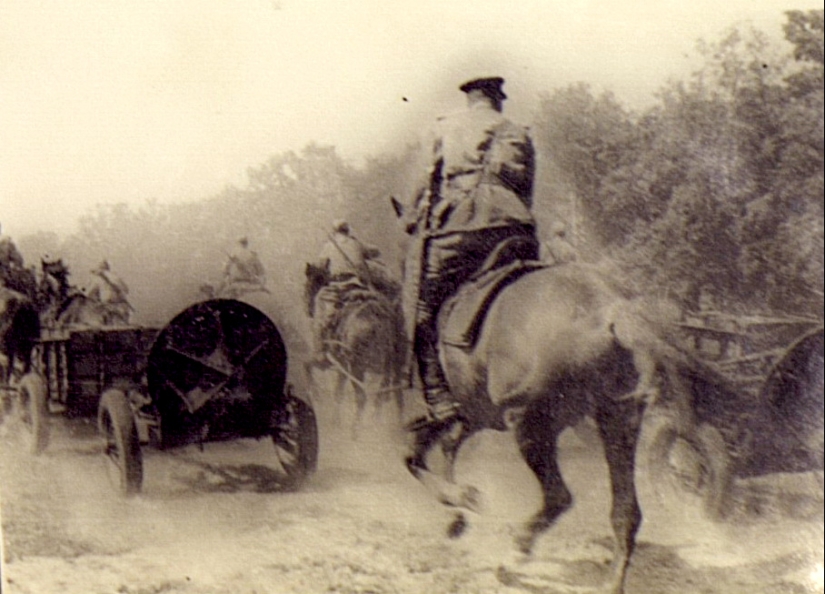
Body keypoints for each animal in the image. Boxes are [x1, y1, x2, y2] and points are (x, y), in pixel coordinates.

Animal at [402, 262, 724, 592]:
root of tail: (612, 312)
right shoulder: (473, 415)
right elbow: (435, 449)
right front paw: (457, 515)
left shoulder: (462, 413)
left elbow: (416, 454)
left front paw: (462, 501)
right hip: (617, 420)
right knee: (626, 511)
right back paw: (611, 582)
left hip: (530, 424)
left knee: (559, 496)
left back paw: (515, 553)